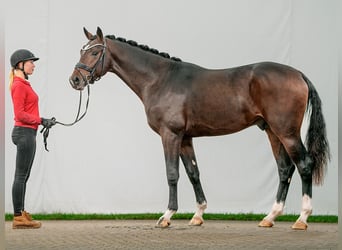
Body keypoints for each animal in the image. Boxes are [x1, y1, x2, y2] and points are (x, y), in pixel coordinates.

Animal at [69, 27, 328, 230]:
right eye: (82, 50)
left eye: (94, 52)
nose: (75, 80)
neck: (160, 79)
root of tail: (298, 74)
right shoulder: (186, 138)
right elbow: (193, 173)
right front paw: (198, 215)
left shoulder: (170, 135)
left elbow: (172, 173)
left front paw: (166, 216)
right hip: (273, 132)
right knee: (285, 169)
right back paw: (270, 217)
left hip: (287, 133)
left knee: (304, 164)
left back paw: (302, 219)